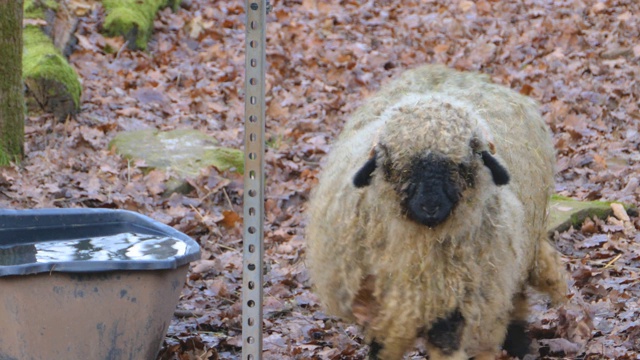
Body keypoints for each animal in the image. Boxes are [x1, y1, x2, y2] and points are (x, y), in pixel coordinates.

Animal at [304, 65, 564, 360]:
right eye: (396, 165)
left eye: (461, 165)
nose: (430, 206)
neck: (423, 246)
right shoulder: (377, 294)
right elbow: (381, 340)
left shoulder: (456, 290)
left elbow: (445, 337)